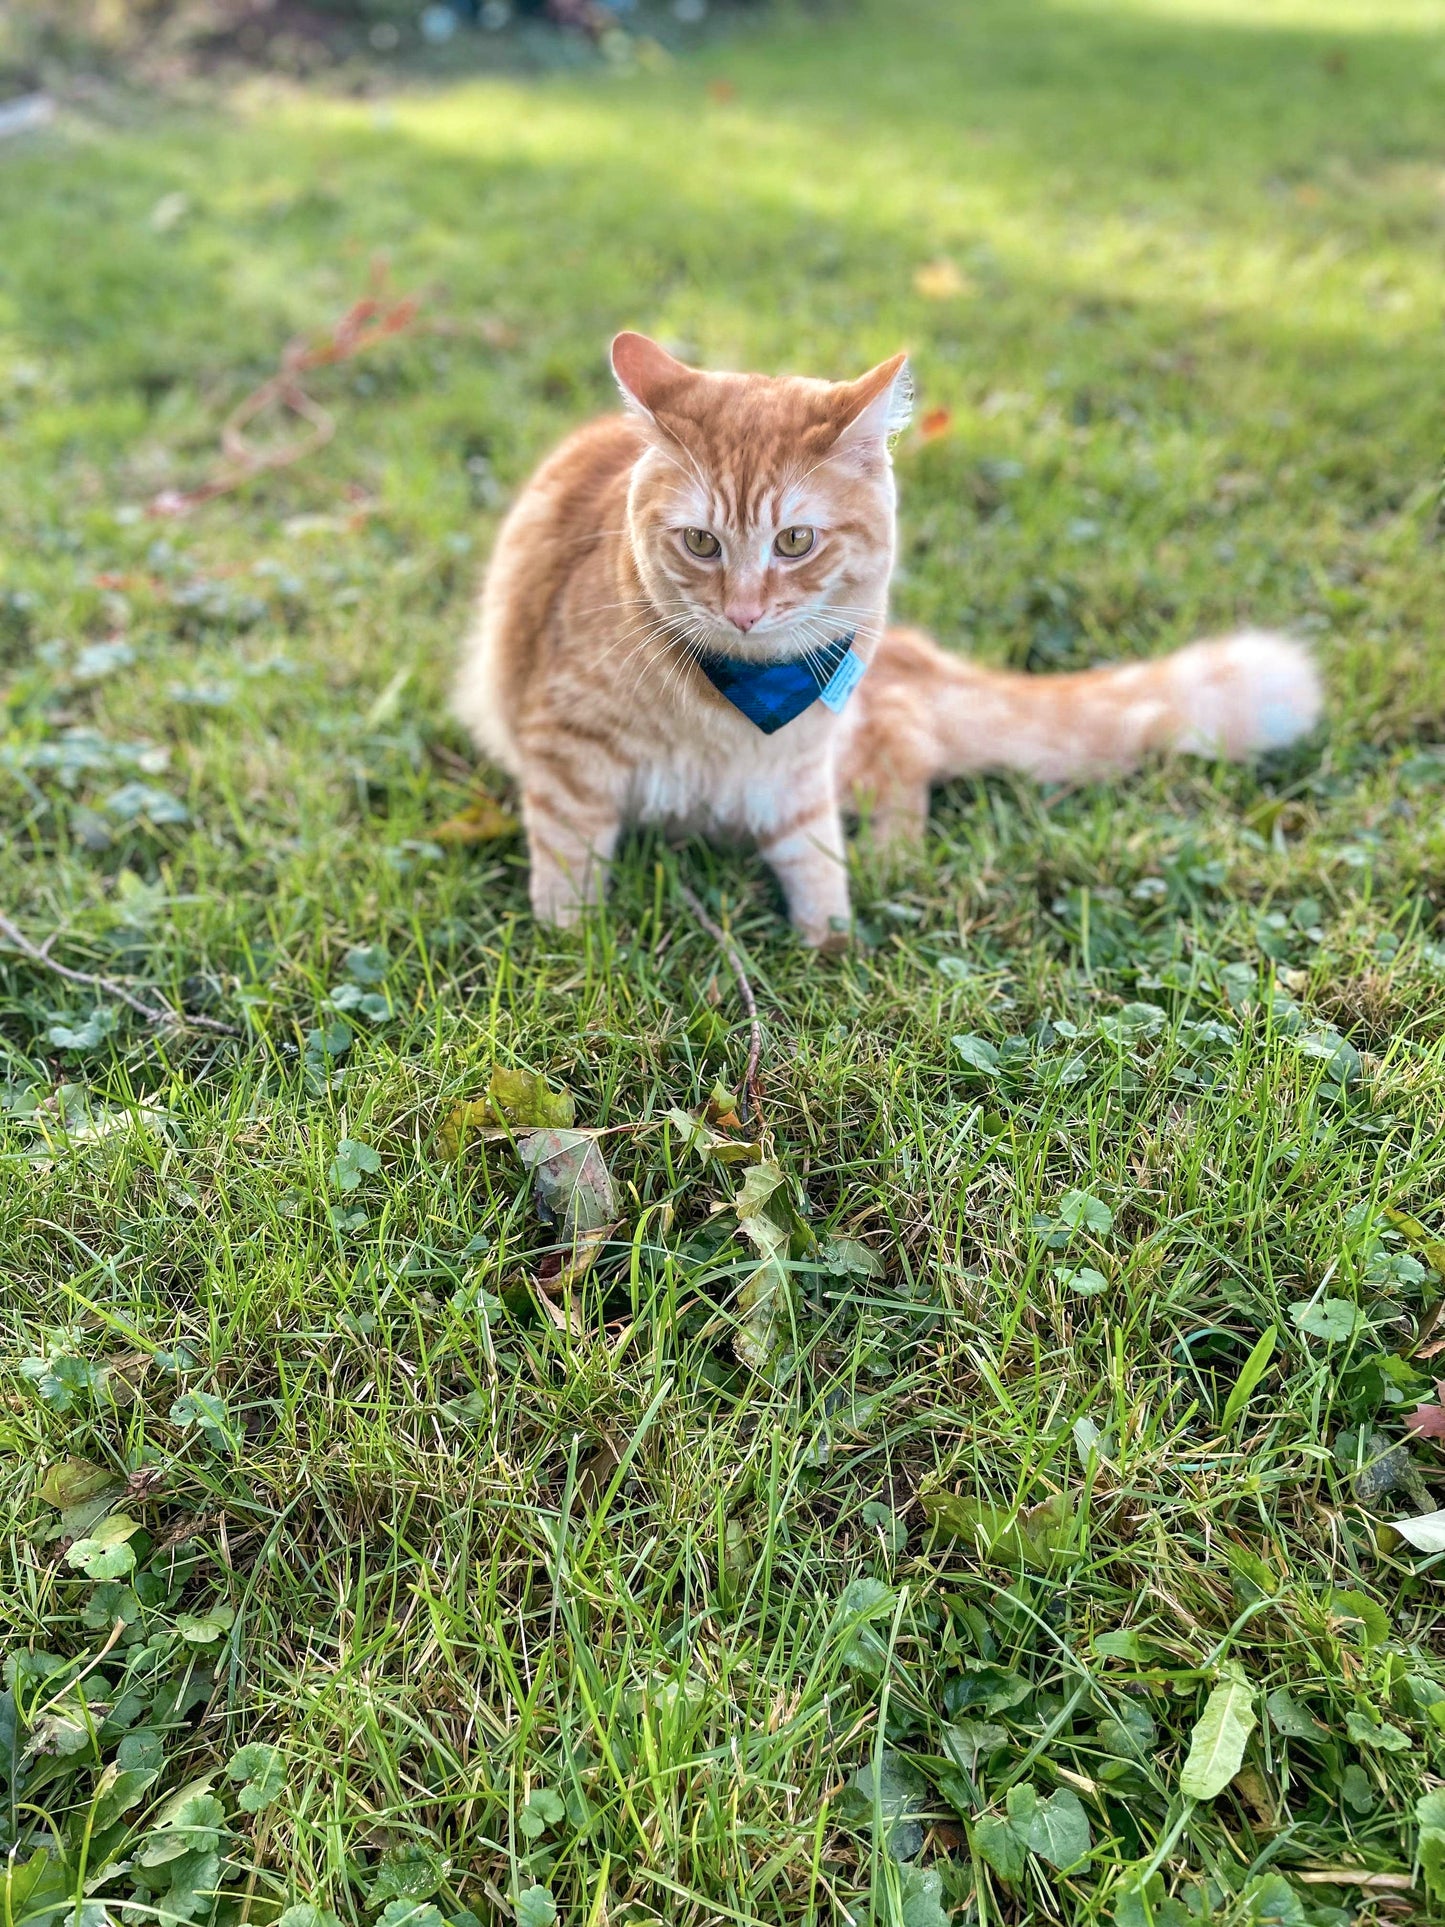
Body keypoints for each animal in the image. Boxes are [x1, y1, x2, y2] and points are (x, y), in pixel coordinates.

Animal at [454, 335, 1325, 944]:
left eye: (794, 541)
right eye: (701, 544)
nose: (743, 611)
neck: (739, 695)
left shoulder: (799, 776)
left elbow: (815, 864)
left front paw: (830, 948)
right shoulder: (568, 753)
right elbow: (567, 866)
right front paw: (572, 947)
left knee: (910, 757)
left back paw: (891, 856)